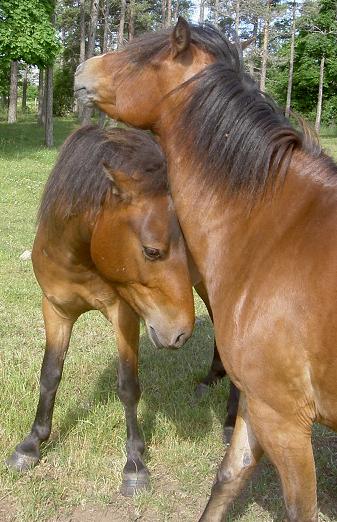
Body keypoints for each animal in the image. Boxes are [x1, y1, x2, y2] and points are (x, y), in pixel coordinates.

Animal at [5, 125, 194, 496]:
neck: (79, 255)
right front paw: (32, 444)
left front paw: (135, 463)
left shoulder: (125, 315)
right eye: (152, 251)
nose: (180, 332)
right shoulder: (55, 311)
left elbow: (128, 386)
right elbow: (50, 375)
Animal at [75, 17, 336, 520]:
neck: (278, 228)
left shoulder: (283, 418)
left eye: (140, 56)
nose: (81, 69)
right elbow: (228, 478)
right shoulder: (259, 405)